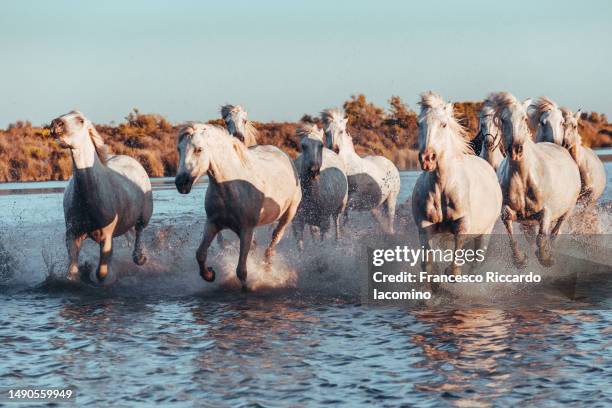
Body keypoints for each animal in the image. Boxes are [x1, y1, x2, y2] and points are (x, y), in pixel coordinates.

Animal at [48, 111, 152, 284]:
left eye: (80, 120)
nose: (56, 124)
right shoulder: (72, 236)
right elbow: (72, 272)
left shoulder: (106, 238)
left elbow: (101, 273)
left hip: (144, 216)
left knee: (139, 231)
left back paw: (140, 258)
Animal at [175, 122, 302, 288]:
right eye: (179, 149)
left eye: (199, 149)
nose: (181, 183)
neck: (229, 186)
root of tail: (284, 155)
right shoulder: (212, 224)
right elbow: (200, 254)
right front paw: (209, 274)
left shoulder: (246, 229)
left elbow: (241, 271)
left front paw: (248, 287)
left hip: (288, 214)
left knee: (275, 238)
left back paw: (266, 266)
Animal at [292, 122, 346, 250]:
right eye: (303, 146)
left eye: (320, 145)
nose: (313, 171)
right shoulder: (297, 221)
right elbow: (300, 247)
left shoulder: (324, 221)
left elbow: (322, 243)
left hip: (339, 208)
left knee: (336, 223)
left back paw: (337, 243)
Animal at [412, 91, 502, 278]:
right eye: (419, 124)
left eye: (444, 124)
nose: (427, 158)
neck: (442, 187)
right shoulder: (424, 226)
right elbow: (428, 263)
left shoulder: (463, 224)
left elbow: (457, 255)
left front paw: (452, 273)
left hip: (485, 232)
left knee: (477, 261)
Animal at [490, 91, 580, 268]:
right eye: (503, 119)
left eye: (524, 118)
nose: (516, 150)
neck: (523, 177)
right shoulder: (514, 214)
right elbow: (511, 232)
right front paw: (520, 260)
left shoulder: (546, 212)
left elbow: (541, 238)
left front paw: (546, 259)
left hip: (568, 209)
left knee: (556, 231)